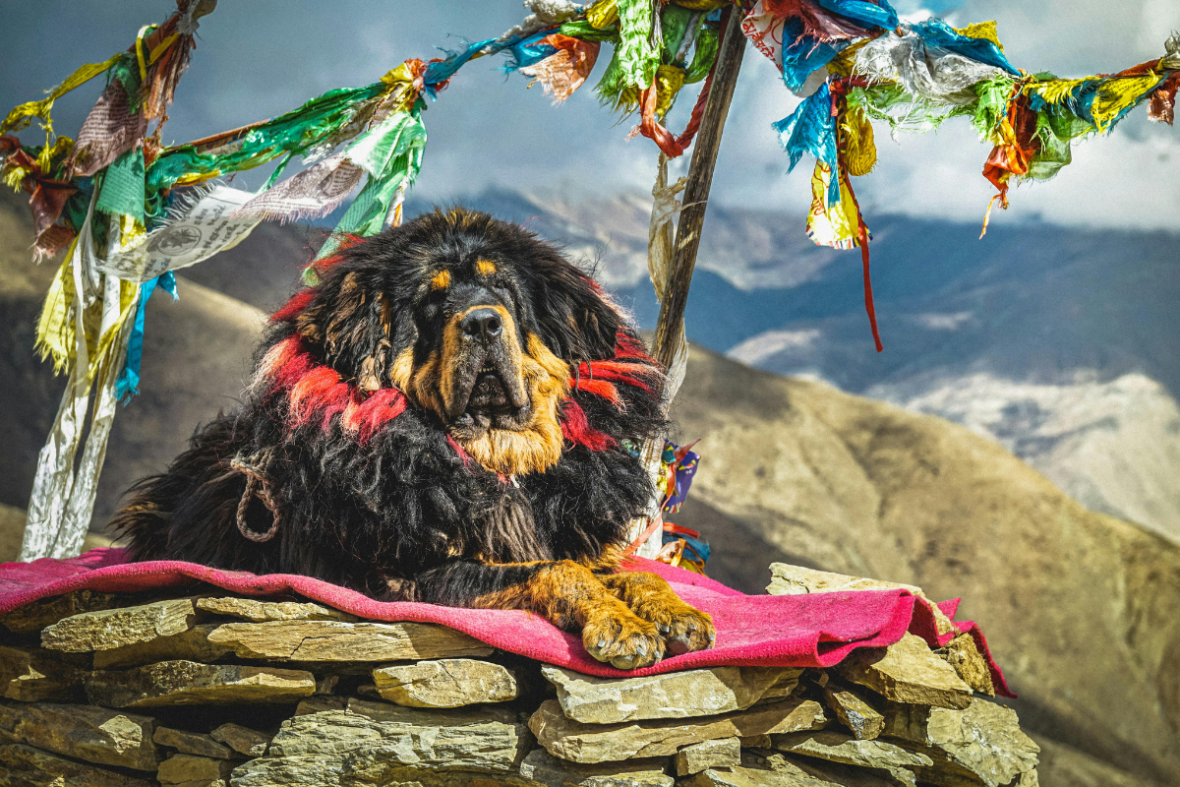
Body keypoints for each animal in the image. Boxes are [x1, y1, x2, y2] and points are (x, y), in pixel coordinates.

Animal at [115, 207, 712, 670]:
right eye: (430, 300)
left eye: (502, 288)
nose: (482, 323)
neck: (496, 463)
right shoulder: (412, 580)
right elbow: (557, 570)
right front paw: (621, 625)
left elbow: (633, 576)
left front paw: (676, 612)